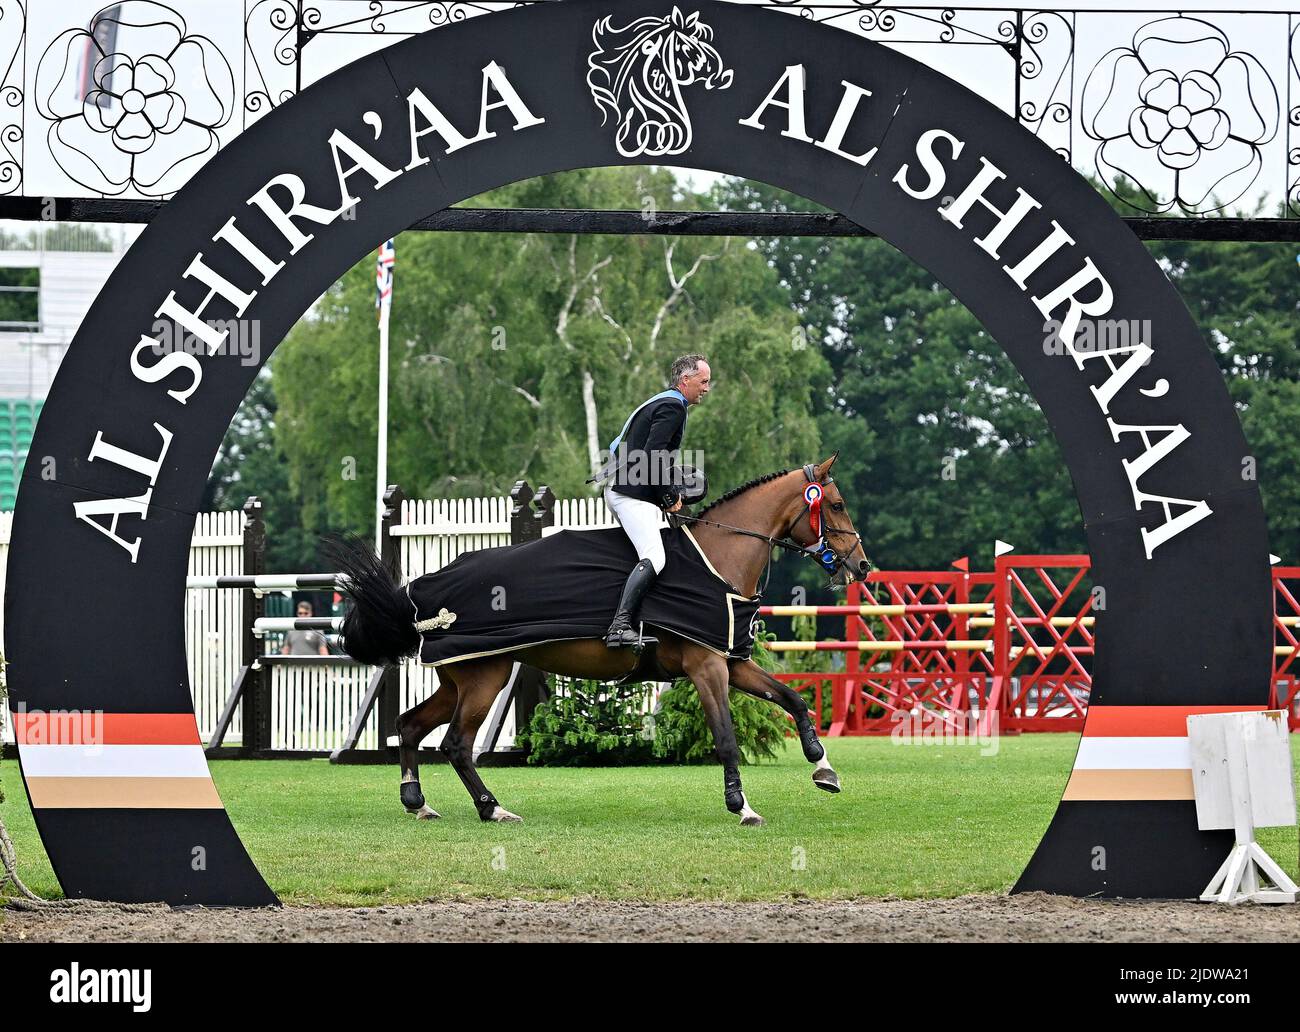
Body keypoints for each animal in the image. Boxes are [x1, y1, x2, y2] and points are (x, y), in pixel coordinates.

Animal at [327, 454, 873, 826]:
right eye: (837, 504)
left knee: (411, 725)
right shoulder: (707, 668)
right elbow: (725, 738)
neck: (719, 558)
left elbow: (795, 701)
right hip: (486, 677)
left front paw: (823, 768)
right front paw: (742, 807)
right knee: (457, 744)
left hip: (460, 679)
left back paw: (417, 802)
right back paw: (492, 809)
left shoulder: (733, 663)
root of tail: (424, 592)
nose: (862, 567)